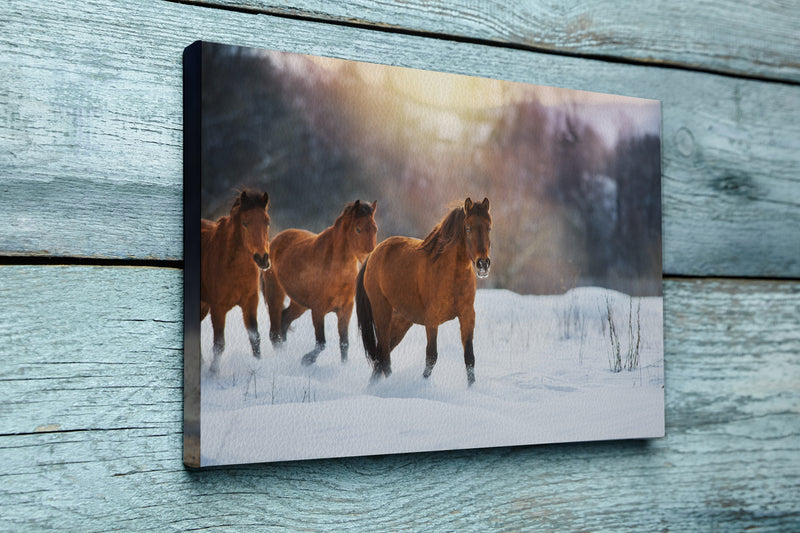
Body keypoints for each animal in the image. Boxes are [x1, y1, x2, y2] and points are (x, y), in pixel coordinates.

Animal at [200, 189, 272, 372]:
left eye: (267, 222)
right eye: (245, 223)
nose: (262, 258)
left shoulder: (250, 303)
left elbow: (255, 338)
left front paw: (257, 366)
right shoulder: (218, 308)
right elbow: (219, 343)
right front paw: (213, 372)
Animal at [260, 200, 376, 366]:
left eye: (375, 229)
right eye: (358, 229)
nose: (370, 257)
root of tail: (275, 240)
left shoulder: (345, 309)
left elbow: (344, 343)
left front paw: (344, 366)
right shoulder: (318, 309)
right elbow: (321, 342)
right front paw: (307, 360)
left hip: (299, 303)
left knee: (284, 320)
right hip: (275, 294)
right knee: (275, 333)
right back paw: (281, 358)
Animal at [358, 195, 494, 382]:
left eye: (489, 227)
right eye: (468, 228)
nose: (483, 264)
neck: (452, 275)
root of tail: (373, 254)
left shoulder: (467, 316)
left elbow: (469, 358)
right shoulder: (432, 319)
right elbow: (431, 357)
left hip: (401, 320)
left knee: (381, 357)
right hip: (382, 313)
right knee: (384, 355)